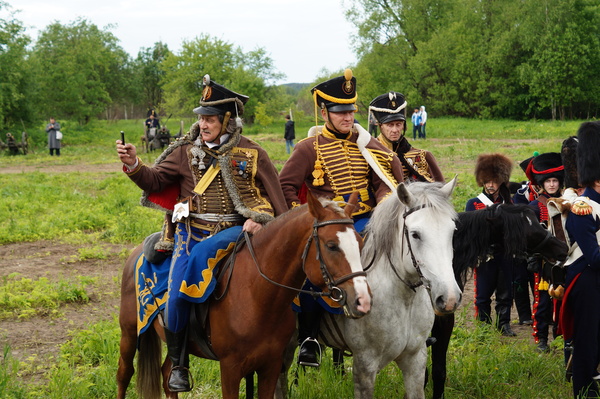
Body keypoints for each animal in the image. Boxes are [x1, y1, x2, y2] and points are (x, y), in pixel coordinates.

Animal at [116, 191, 370, 399]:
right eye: (331, 245)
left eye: (360, 242)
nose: (363, 301)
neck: (258, 295)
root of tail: (137, 253)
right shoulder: (230, 368)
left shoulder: (270, 366)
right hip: (128, 332)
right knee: (124, 374)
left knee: (169, 373)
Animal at [278, 181, 462, 399]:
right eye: (415, 234)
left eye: (452, 232)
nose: (449, 298)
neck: (403, 300)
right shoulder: (365, 364)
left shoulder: (415, 359)